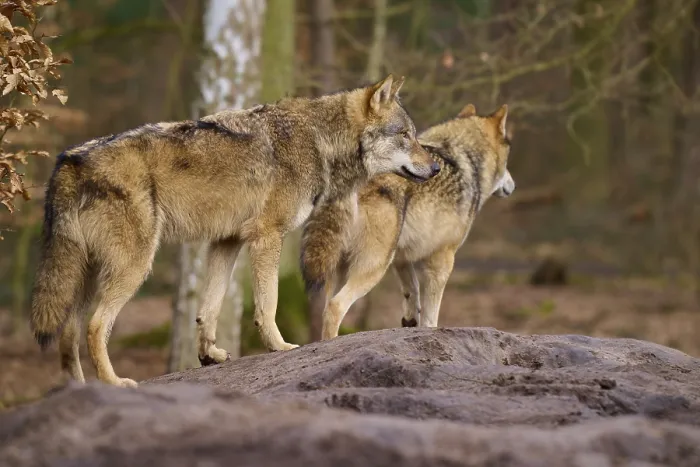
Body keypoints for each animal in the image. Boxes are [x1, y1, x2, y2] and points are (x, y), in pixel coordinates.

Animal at [30, 74, 439, 388]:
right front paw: (280, 347)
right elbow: (268, 303)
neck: (319, 139)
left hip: (87, 275)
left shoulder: (225, 243)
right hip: (134, 267)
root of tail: (70, 160)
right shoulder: (267, 235)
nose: (436, 167)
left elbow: (208, 309)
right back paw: (114, 383)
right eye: (405, 135)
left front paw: (208, 355)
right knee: (96, 327)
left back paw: (81, 389)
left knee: (68, 334)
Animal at [300, 103, 515, 340]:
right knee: (335, 307)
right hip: (374, 265)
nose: (512, 185)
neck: (463, 156)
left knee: (326, 305)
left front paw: (410, 321)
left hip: (337, 265)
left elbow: (412, 291)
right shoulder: (441, 260)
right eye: (508, 161)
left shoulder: (401, 258)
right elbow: (431, 314)